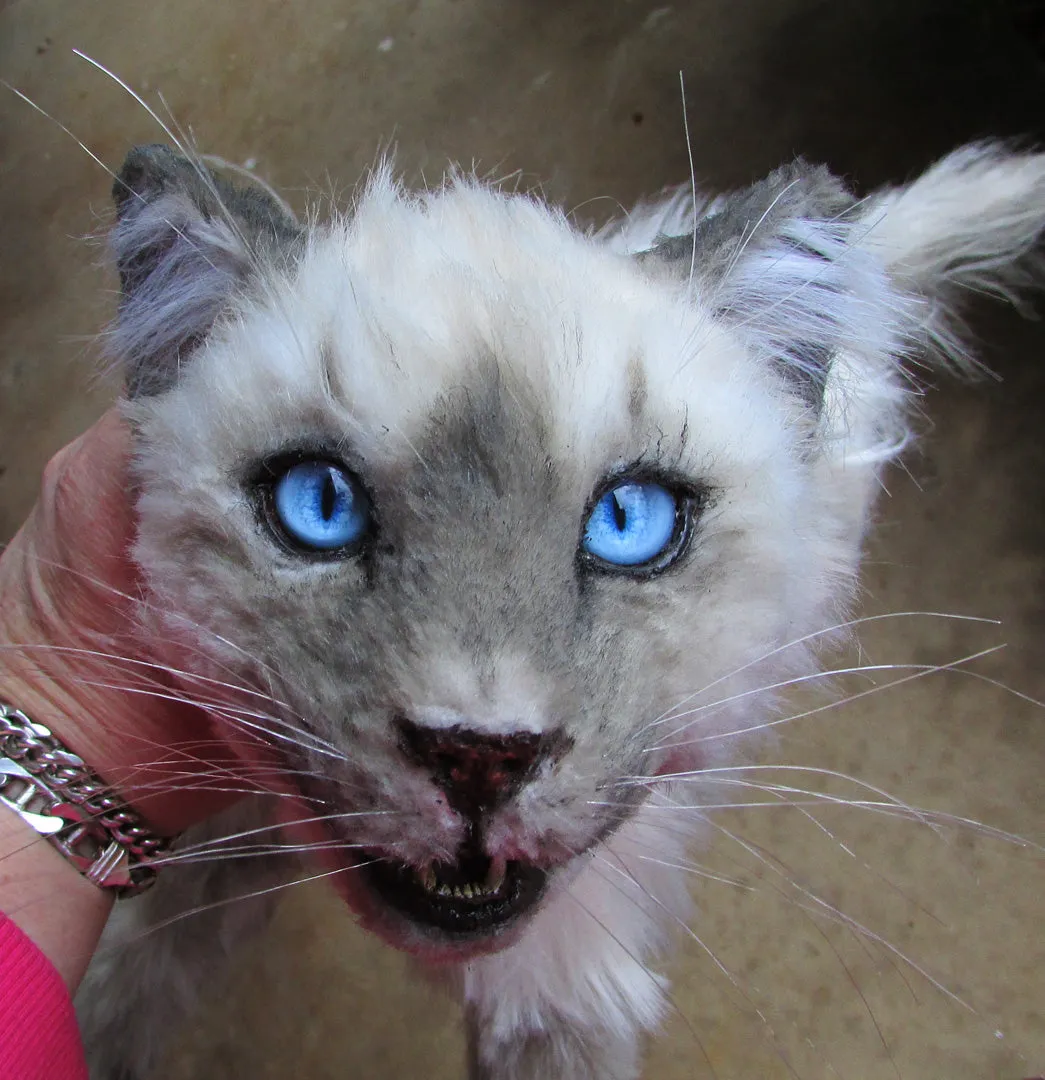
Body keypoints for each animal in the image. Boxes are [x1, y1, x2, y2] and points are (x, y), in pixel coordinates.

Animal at [73, 139, 1045, 1075]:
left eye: (628, 522)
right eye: (320, 504)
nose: (478, 756)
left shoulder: (564, 1000)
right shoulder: (217, 811)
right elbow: (117, 984)